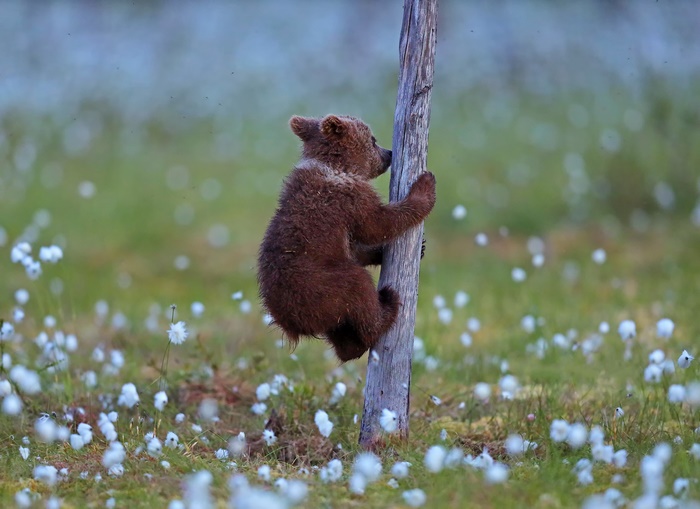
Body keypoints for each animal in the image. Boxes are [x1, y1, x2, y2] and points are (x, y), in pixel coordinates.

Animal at [257, 114, 436, 362]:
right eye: (373, 139)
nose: (389, 153)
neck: (337, 167)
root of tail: (290, 324)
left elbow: (358, 246)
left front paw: (413, 249)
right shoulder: (348, 200)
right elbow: (378, 223)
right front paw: (425, 186)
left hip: (325, 308)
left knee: (342, 332)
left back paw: (352, 346)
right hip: (320, 285)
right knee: (358, 286)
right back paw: (387, 306)